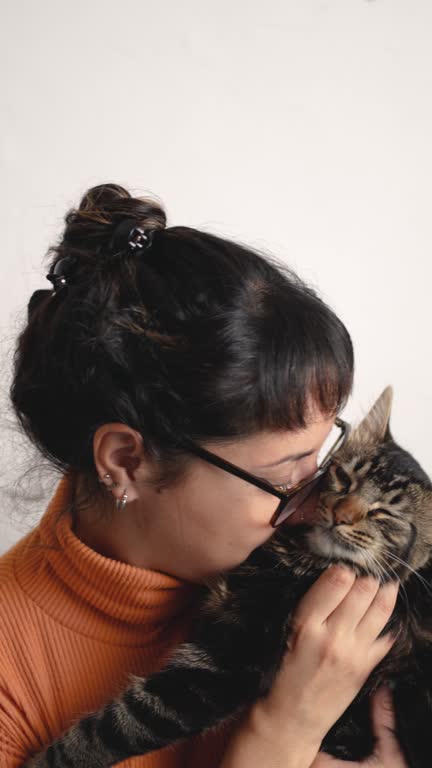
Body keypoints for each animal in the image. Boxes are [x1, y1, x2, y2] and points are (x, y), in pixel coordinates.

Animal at [25, 390, 432, 768]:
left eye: (382, 514)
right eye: (344, 478)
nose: (340, 514)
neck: (296, 556)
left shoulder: (222, 665)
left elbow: (118, 724)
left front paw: (50, 759)